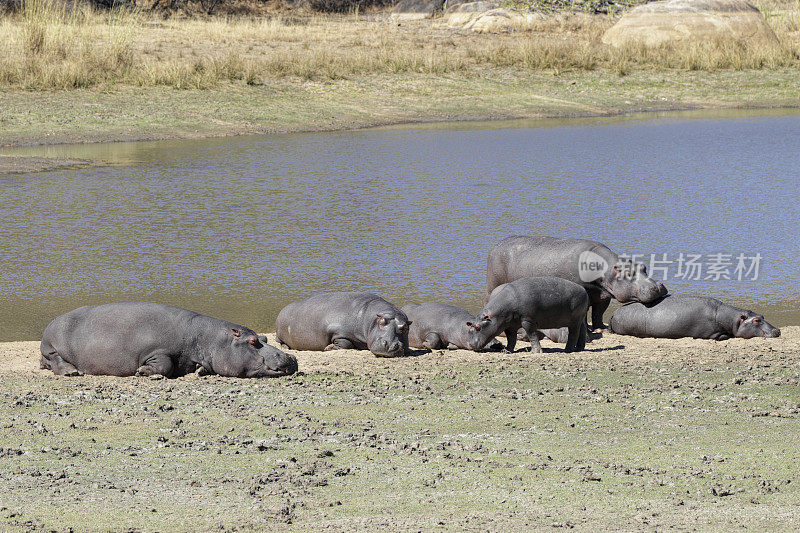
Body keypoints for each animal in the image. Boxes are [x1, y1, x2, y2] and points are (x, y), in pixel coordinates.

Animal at [39, 304, 296, 378]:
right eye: (252, 341)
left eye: (264, 337)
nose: (291, 356)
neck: (209, 338)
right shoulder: (156, 350)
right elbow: (165, 364)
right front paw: (142, 371)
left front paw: (200, 370)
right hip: (52, 347)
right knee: (55, 361)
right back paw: (72, 372)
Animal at [276, 290, 412, 358]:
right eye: (381, 321)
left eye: (405, 327)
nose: (389, 345)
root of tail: (282, 310)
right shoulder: (339, 332)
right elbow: (346, 343)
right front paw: (328, 347)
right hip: (280, 335)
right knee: (280, 342)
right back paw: (286, 347)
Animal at [488, 236, 668, 330]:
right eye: (629, 273)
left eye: (644, 267)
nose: (656, 286)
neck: (606, 270)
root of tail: (495, 245)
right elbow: (585, 313)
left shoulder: (604, 295)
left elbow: (598, 313)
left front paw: (600, 328)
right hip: (493, 283)